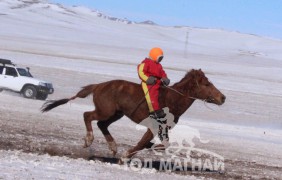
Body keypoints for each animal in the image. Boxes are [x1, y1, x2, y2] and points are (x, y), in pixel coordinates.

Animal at [41, 69, 225, 159]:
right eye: (207, 84)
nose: (222, 97)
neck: (172, 99)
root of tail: (99, 85)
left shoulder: (163, 128)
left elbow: (162, 144)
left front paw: (149, 147)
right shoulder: (153, 127)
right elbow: (144, 142)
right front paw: (126, 155)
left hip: (116, 113)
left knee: (101, 124)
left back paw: (113, 146)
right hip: (106, 110)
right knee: (88, 115)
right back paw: (89, 140)